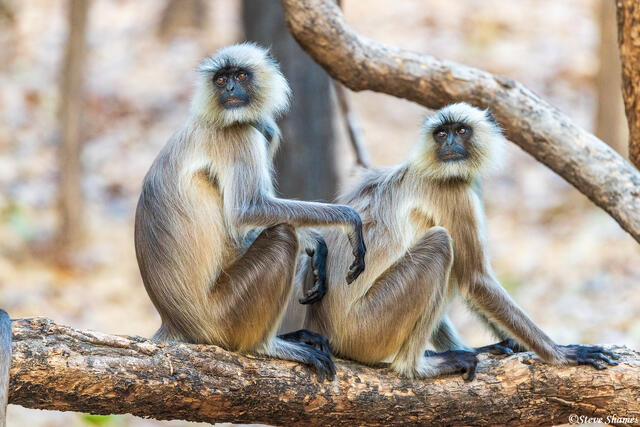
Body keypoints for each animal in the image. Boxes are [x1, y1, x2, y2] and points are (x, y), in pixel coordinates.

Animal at [134, 43, 367, 381]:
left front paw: (316, 243)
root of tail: (175, 321)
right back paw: (268, 345)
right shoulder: (239, 133)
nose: (230, 89)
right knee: (282, 234)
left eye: (240, 76)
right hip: (226, 315)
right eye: (221, 80)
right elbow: (248, 211)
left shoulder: (260, 129)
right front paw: (349, 221)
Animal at [301, 102, 618, 380]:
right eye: (441, 134)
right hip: (368, 326)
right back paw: (416, 367)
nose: (450, 144)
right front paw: (563, 354)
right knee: (442, 243)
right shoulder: (454, 191)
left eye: (461, 130)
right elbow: (475, 278)